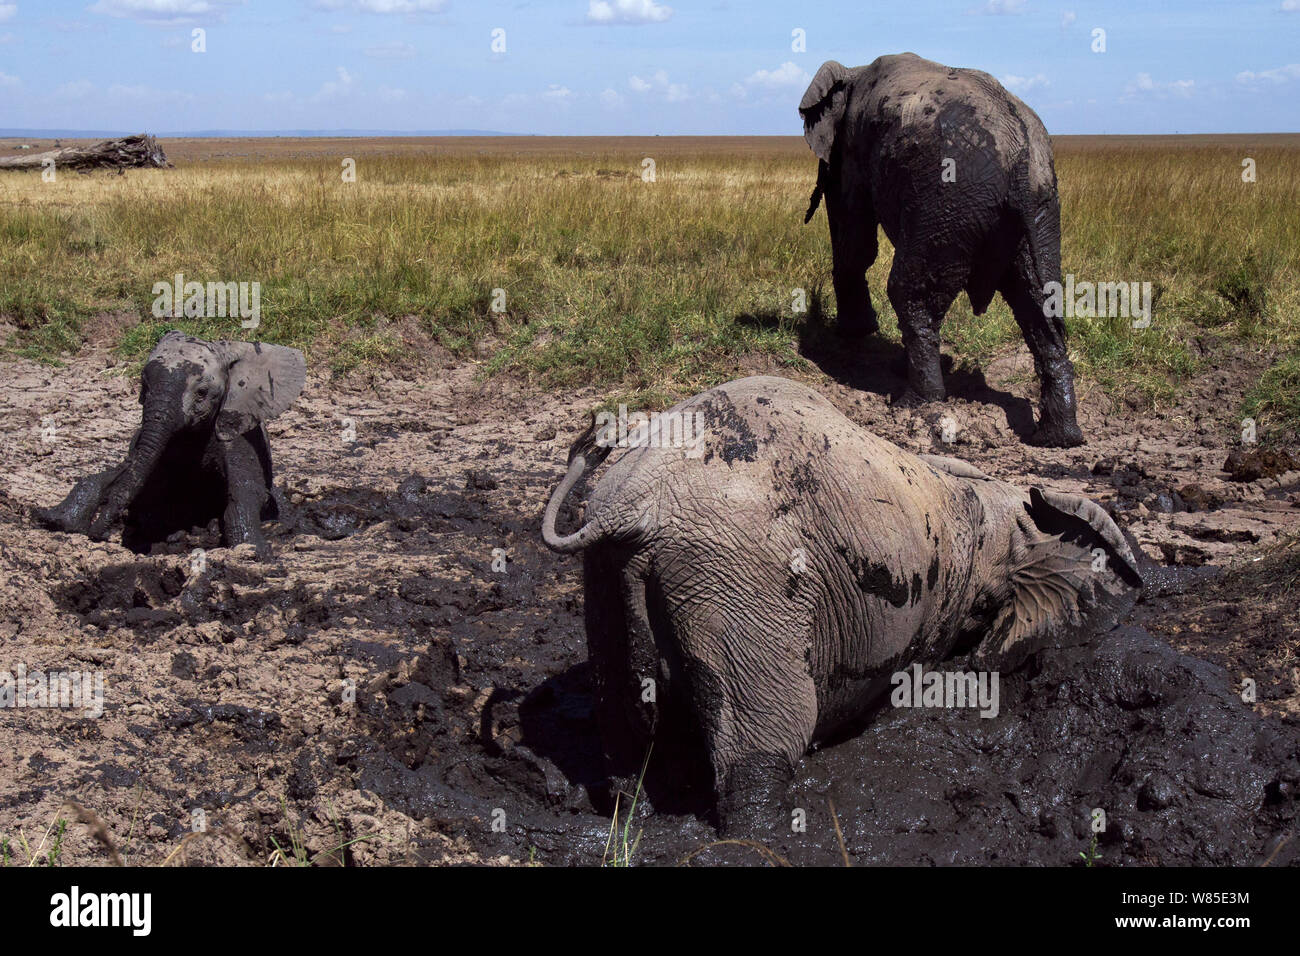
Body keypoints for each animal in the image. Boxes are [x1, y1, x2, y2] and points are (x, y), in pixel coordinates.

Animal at [35, 330, 304, 561]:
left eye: (202, 393)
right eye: (144, 386)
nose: (97, 534)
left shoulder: (236, 429)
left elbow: (246, 491)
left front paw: (253, 552)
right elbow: (126, 473)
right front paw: (58, 522)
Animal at [543, 374, 1144, 832]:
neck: (986, 502)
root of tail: (631, 508)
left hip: (607, 580)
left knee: (625, 745)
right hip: (737, 584)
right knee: (765, 747)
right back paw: (764, 834)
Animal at [800, 54, 1086, 450]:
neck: (854, 72)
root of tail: (1021, 150)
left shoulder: (854, 149)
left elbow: (855, 237)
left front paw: (854, 334)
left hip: (950, 200)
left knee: (909, 292)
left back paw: (913, 403)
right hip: (1040, 205)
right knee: (1040, 302)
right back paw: (1058, 437)